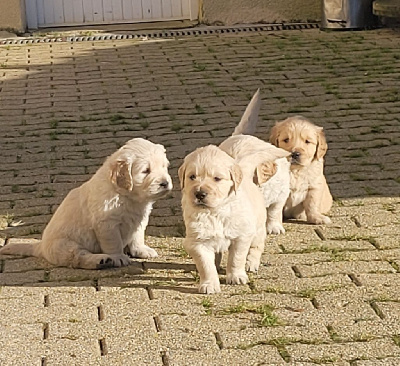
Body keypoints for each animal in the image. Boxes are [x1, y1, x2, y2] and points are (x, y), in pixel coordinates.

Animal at [0, 139, 172, 270]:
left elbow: (137, 236)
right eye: (145, 171)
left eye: (164, 166)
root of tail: (40, 247)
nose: (165, 183)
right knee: (78, 257)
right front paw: (118, 257)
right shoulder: (107, 224)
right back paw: (101, 260)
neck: (128, 196)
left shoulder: (139, 219)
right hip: (65, 245)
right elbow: (114, 243)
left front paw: (141, 250)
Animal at [177, 144, 284, 294]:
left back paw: (251, 263)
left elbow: (236, 258)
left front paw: (236, 276)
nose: (200, 194)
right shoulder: (197, 242)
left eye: (217, 178)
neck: (214, 212)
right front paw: (210, 284)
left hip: (257, 227)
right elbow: (206, 265)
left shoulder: (241, 236)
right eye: (192, 177)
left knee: (257, 246)